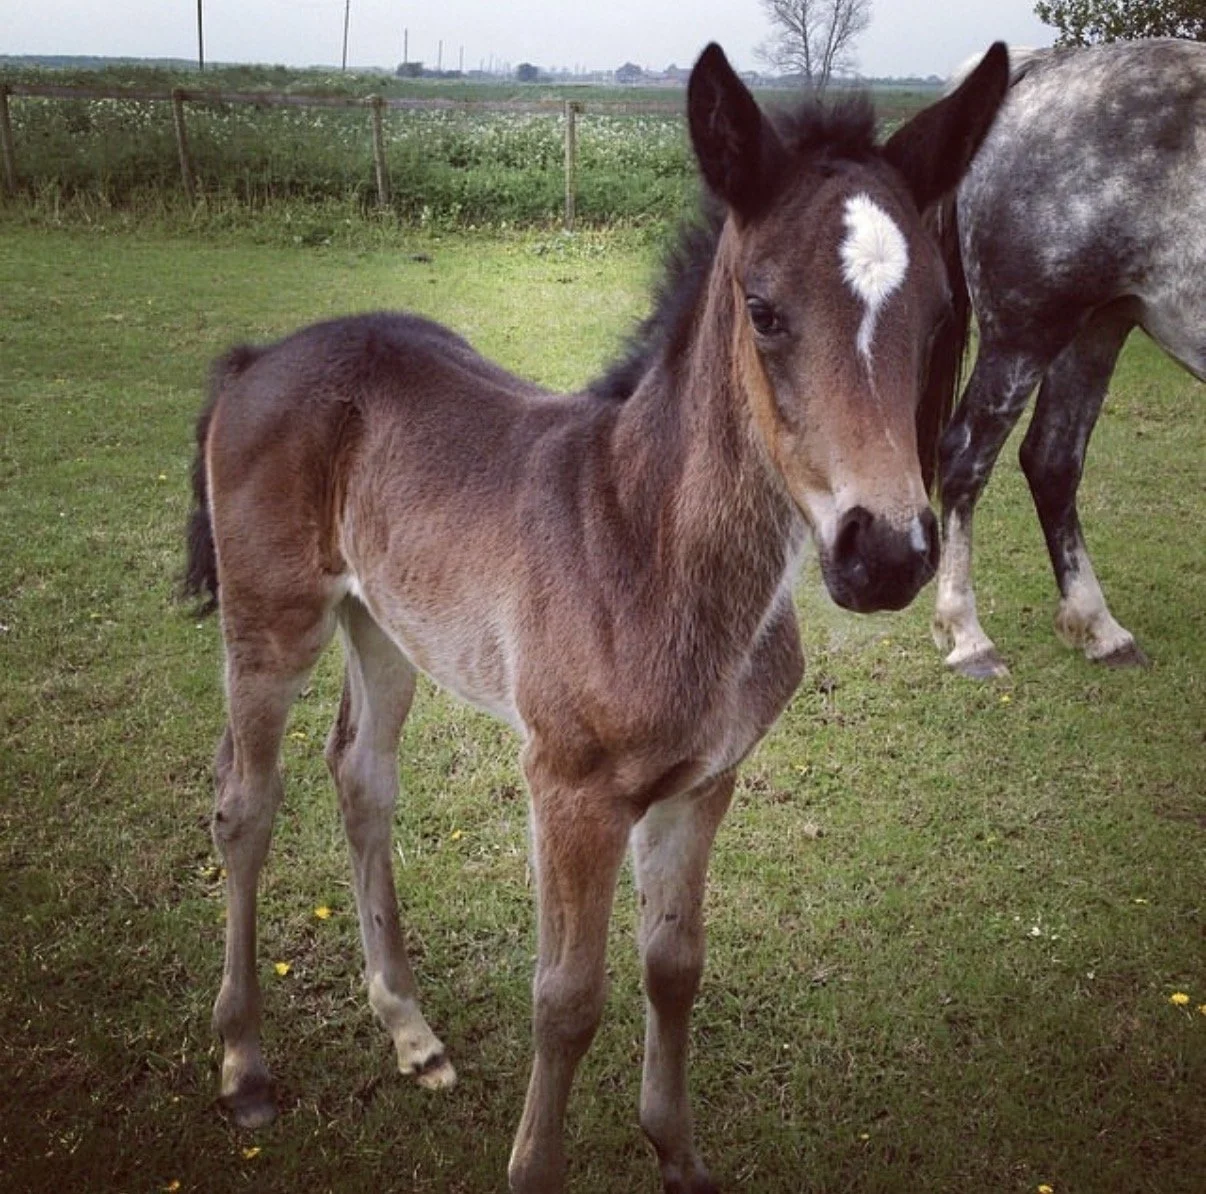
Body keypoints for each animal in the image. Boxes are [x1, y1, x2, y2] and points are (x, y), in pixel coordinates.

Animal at [182, 42, 1008, 1193]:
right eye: (763, 310)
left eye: (937, 317)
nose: (884, 554)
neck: (650, 546)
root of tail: (257, 358)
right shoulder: (569, 790)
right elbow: (567, 1001)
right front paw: (537, 1166)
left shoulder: (704, 781)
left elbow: (674, 966)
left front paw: (678, 1153)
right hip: (273, 620)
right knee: (245, 806)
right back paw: (245, 1063)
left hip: (384, 624)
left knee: (362, 778)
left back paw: (410, 1030)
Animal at [928, 38, 1206, 678]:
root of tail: (1038, 70)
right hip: (1025, 336)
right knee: (964, 457)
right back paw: (969, 638)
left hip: (1096, 326)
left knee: (1052, 460)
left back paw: (1102, 629)